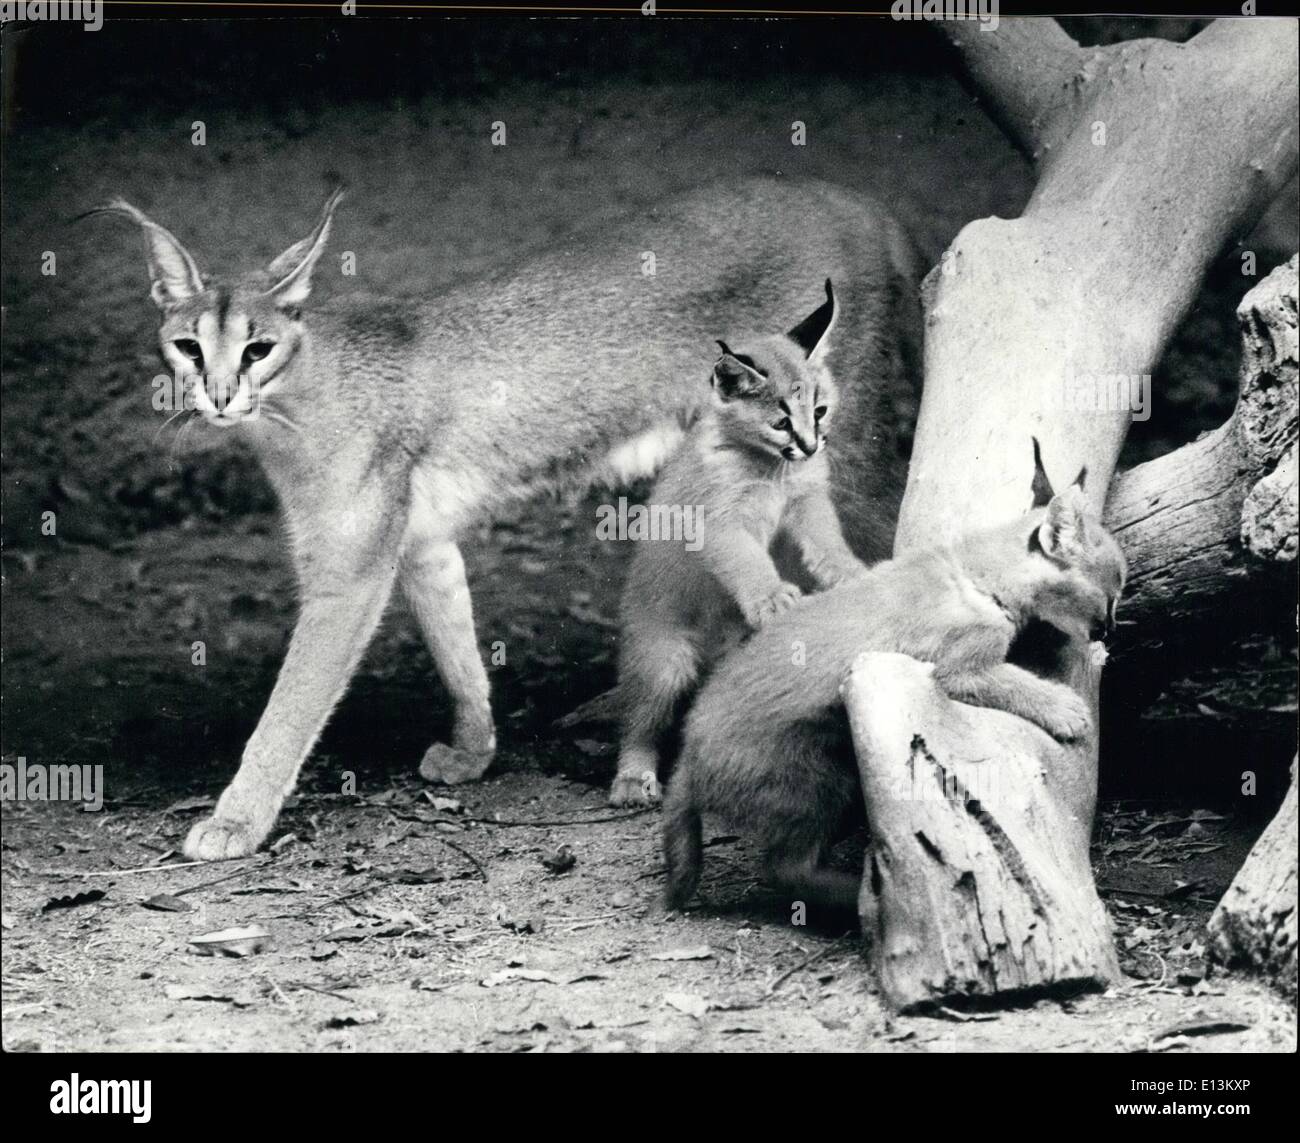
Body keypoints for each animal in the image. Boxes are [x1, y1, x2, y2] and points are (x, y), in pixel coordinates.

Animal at [611, 282, 868, 811]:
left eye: (819, 410)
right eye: (780, 422)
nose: (811, 446)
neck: (772, 467)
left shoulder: (806, 499)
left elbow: (825, 540)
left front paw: (848, 571)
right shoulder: (719, 523)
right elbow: (746, 562)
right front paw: (772, 598)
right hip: (664, 659)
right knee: (640, 718)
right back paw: (631, 778)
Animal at [660, 442, 1128, 915]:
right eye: (1111, 595)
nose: (1110, 629)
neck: (977, 571)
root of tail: (688, 755)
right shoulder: (957, 667)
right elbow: (1012, 680)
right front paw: (1066, 709)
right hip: (814, 782)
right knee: (783, 868)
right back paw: (861, 896)